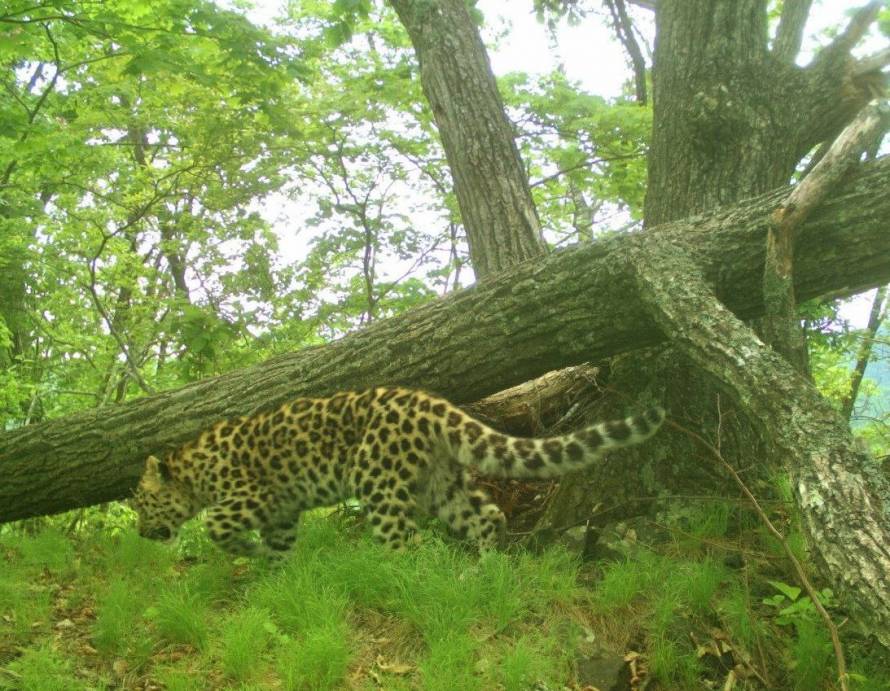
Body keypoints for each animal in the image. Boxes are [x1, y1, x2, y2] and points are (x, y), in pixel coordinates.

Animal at [132, 390, 660, 556]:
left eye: (140, 503)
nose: (138, 532)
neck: (192, 469)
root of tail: (427, 402)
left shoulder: (253, 496)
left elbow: (216, 525)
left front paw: (247, 553)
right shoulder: (280, 512)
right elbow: (279, 548)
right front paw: (274, 574)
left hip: (377, 480)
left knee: (406, 541)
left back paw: (389, 577)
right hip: (439, 483)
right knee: (487, 516)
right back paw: (484, 569)